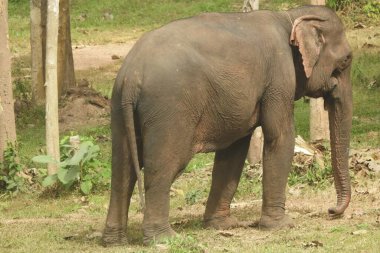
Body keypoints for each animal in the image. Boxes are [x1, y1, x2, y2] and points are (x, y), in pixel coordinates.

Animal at [101, 5, 354, 245]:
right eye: (347, 59)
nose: (332, 211)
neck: (290, 16)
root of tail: (132, 75)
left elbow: (234, 150)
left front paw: (222, 225)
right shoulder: (279, 78)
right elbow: (280, 137)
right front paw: (282, 225)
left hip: (118, 107)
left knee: (122, 169)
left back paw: (114, 240)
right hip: (169, 109)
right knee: (162, 167)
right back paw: (164, 239)